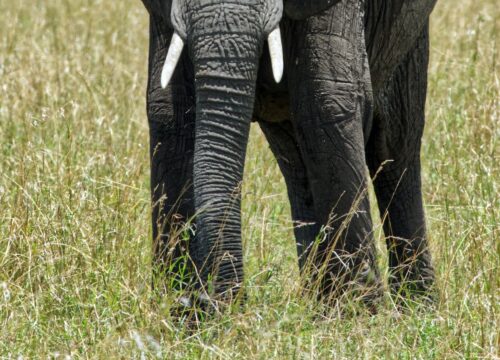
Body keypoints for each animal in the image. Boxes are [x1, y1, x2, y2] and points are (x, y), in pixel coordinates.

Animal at [139, 0, 436, 310]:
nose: (206, 300)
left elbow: (326, 102)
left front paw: (359, 311)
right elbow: (169, 113)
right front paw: (179, 311)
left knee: (394, 142)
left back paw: (417, 307)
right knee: (295, 155)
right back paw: (318, 304)